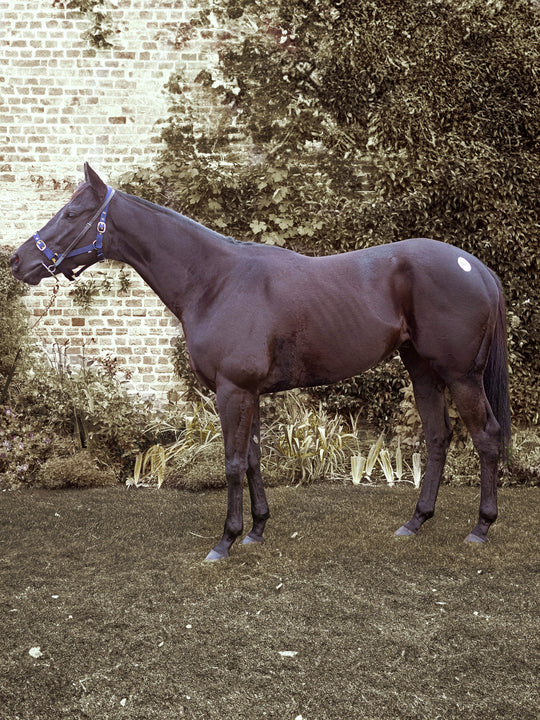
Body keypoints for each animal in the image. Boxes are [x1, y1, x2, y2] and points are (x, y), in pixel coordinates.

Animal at [11, 163, 511, 560]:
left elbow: (232, 462)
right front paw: (256, 530)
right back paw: (415, 522)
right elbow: (251, 458)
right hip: (422, 370)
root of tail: (476, 267)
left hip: (461, 376)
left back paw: (481, 527)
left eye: (72, 213)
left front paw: (225, 541)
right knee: (438, 437)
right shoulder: (248, 393)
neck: (215, 280)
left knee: (486, 437)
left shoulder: (233, 391)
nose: (19, 260)